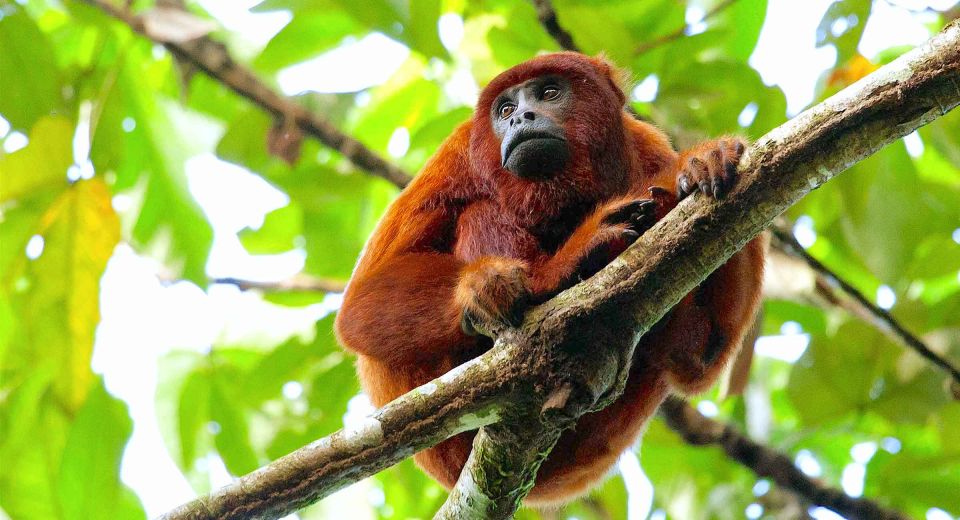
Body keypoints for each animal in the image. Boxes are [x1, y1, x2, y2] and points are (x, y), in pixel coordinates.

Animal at [338, 52, 764, 504]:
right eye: (504, 109)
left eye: (549, 92)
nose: (520, 117)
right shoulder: (456, 156)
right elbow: (358, 309)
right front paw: (495, 287)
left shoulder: (647, 146)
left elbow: (701, 358)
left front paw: (707, 160)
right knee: (480, 211)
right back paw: (554, 276)